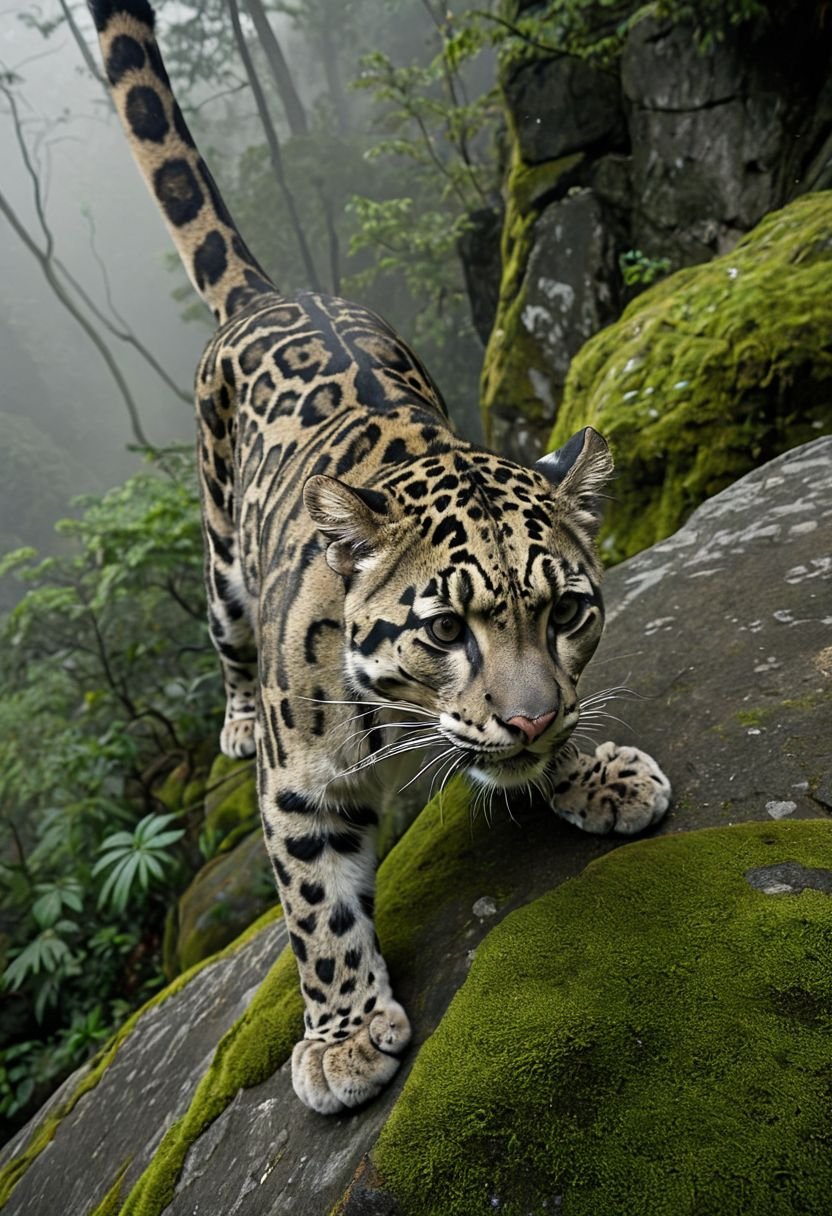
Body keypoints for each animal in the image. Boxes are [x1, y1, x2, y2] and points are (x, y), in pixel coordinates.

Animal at [88, 0, 671, 1115]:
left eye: (567, 613)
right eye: (445, 629)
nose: (529, 719)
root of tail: (263, 295)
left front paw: (594, 771)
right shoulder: (296, 788)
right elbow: (316, 911)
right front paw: (347, 1037)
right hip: (220, 560)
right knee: (223, 636)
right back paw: (232, 718)